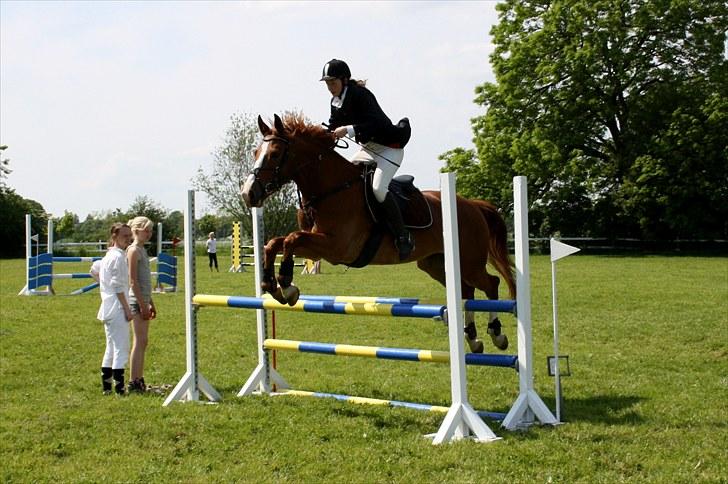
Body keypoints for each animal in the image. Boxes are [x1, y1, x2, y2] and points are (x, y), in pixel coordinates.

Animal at [242, 112, 516, 352]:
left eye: (275, 154)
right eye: (255, 153)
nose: (248, 194)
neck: (332, 189)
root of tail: (472, 205)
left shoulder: (336, 248)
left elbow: (291, 239)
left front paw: (287, 285)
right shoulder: (319, 249)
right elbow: (274, 243)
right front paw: (270, 284)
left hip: (469, 262)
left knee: (490, 283)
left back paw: (497, 334)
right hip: (436, 264)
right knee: (466, 291)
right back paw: (473, 338)